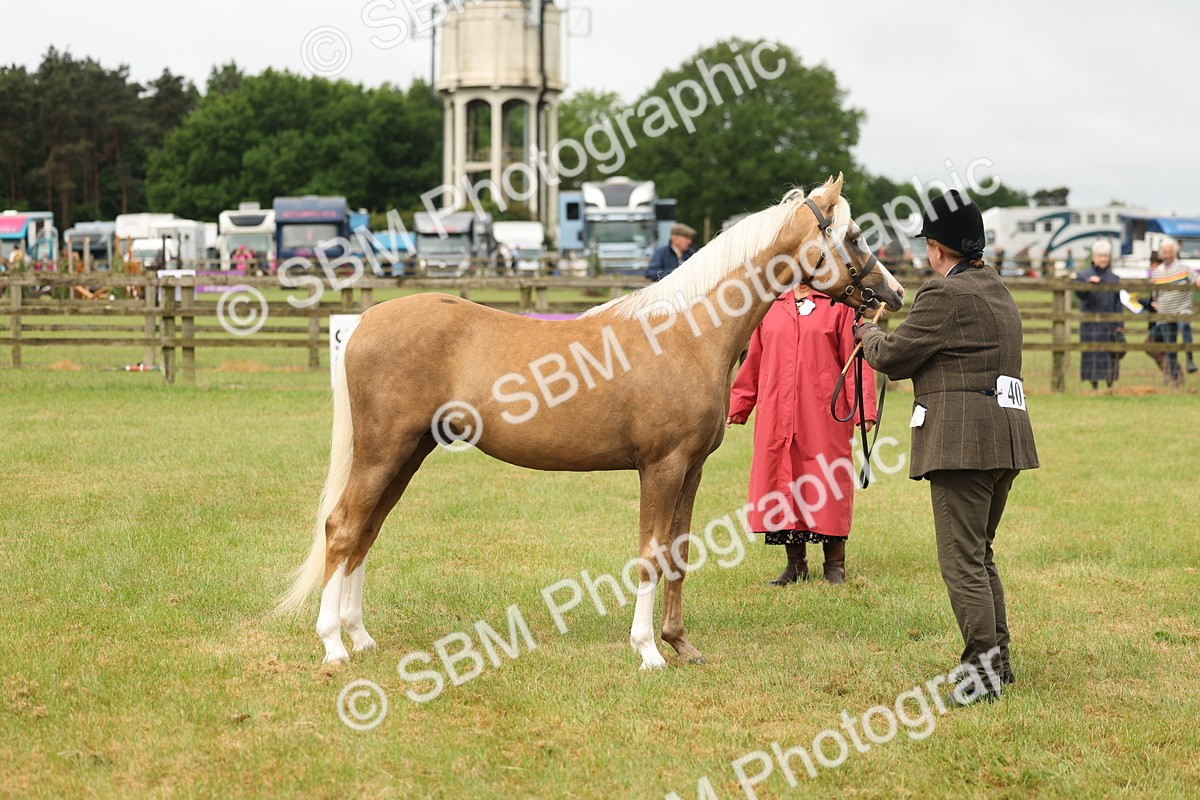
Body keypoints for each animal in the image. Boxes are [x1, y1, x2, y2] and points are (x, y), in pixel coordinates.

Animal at [277, 174, 905, 668]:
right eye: (853, 235)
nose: (893, 293)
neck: (687, 331)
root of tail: (366, 319)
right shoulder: (661, 467)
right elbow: (651, 554)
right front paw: (648, 651)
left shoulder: (691, 470)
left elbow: (677, 553)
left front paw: (681, 645)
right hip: (384, 451)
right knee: (343, 528)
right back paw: (334, 645)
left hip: (406, 454)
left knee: (366, 531)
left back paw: (360, 637)